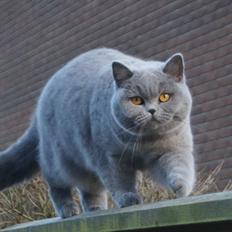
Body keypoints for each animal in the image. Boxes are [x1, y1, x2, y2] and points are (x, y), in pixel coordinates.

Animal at [0, 48, 195, 218]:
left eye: (164, 97)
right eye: (136, 100)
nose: (152, 110)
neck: (146, 141)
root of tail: (39, 108)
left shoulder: (173, 148)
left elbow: (179, 166)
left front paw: (181, 187)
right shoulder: (110, 158)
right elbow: (119, 181)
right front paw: (129, 199)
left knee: (89, 189)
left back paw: (96, 208)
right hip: (60, 161)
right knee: (56, 185)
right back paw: (69, 210)